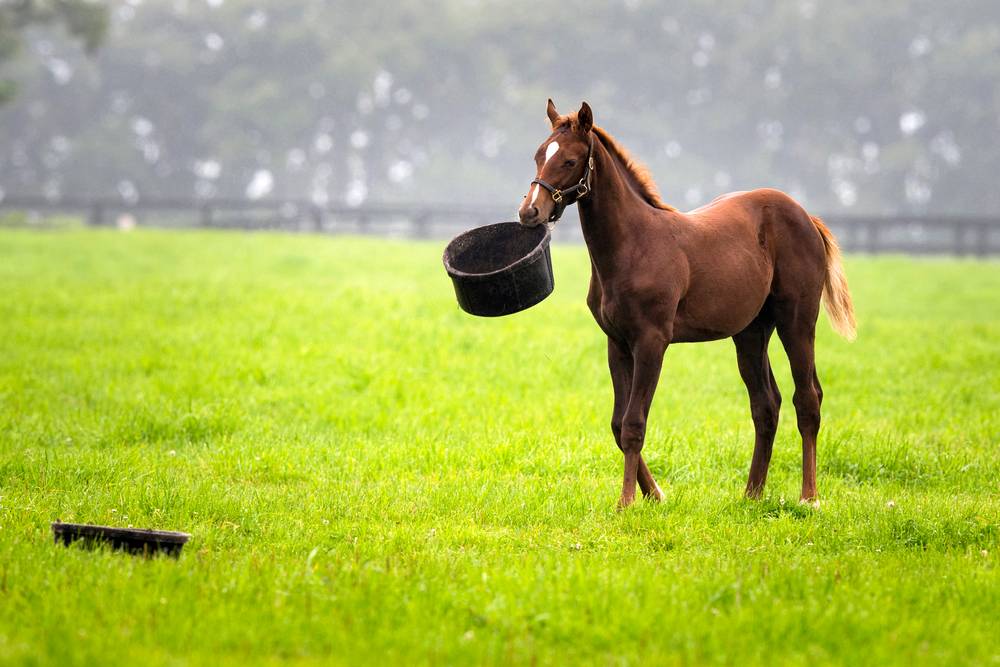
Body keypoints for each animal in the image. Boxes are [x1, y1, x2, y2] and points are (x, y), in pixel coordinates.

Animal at [520, 99, 856, 508]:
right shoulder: (617, 344)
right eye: (539, 155)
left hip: (797, 321)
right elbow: (617, 423)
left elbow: (634, 423)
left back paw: (810, 497)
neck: (632, 244)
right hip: (751, 332)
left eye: (569, 160)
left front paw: (627, 502)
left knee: (807, 399)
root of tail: (806, 216)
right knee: (766, 404)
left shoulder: (652, 342)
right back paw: (752, 494)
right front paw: (654, 494)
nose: (529, 212)